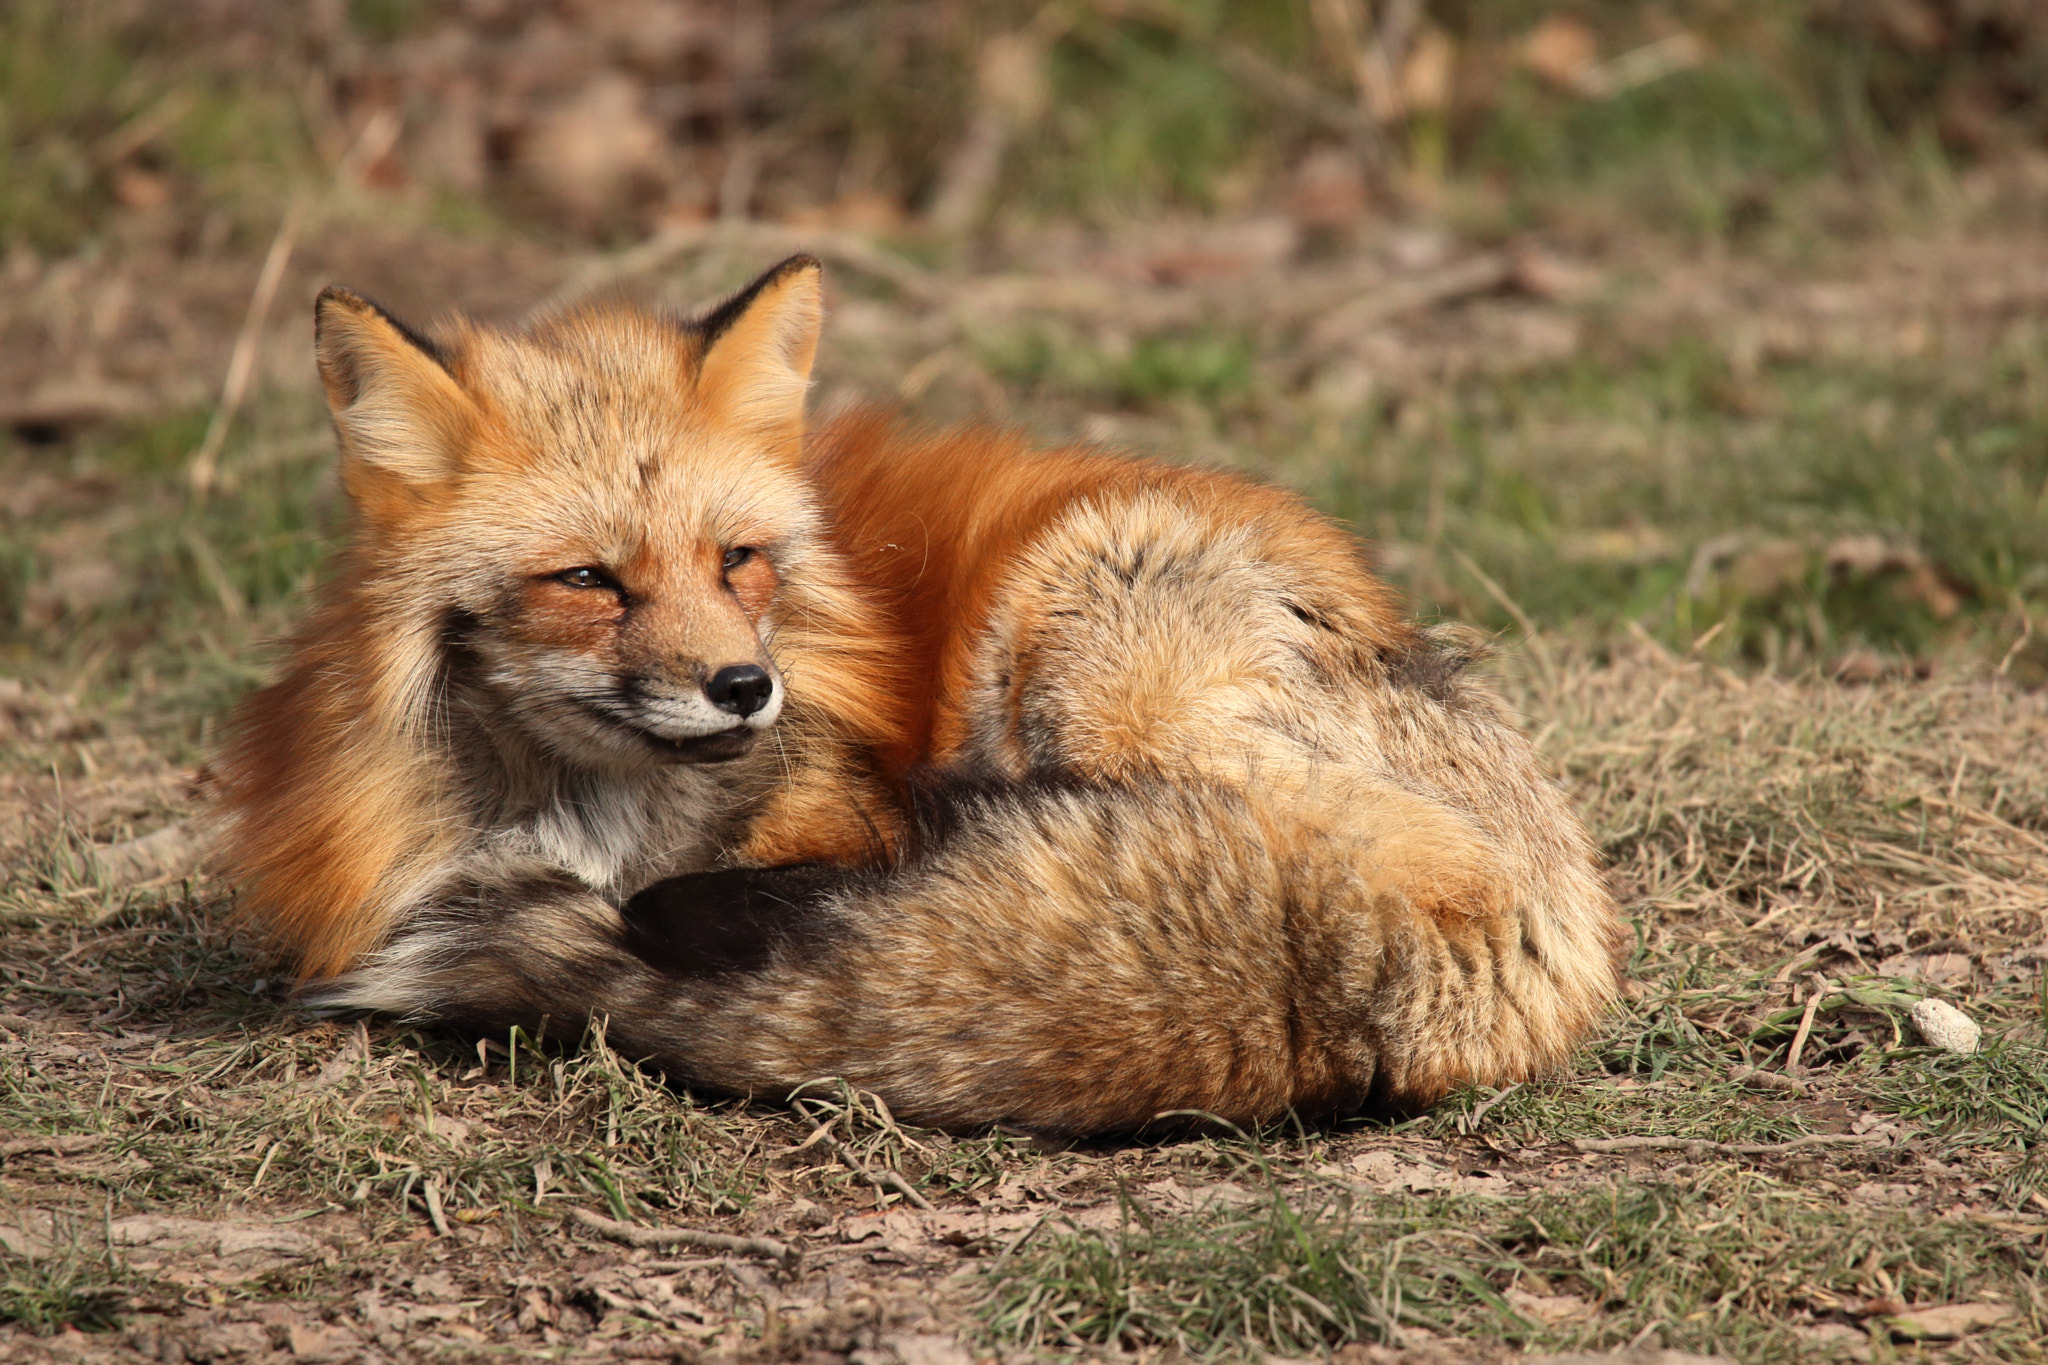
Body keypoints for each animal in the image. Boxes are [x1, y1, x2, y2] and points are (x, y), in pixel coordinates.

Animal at [214, 255, 1624, 1137]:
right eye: (588, 581)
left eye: (737, 560)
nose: (745, 689)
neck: (596, 823)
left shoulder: (837, 813)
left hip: (1092, 632)